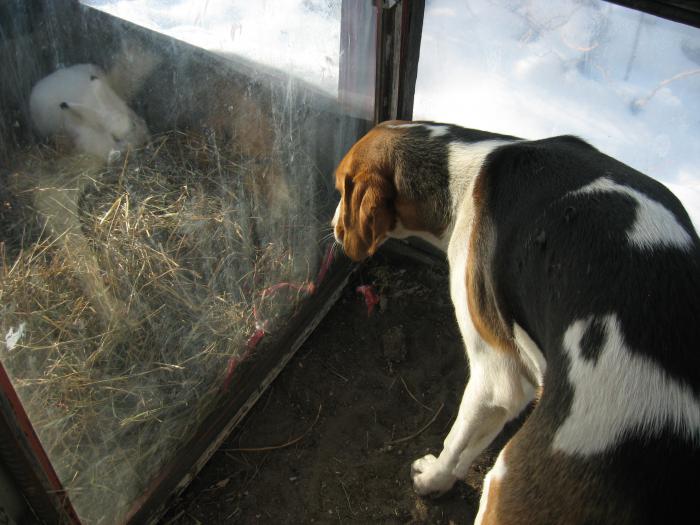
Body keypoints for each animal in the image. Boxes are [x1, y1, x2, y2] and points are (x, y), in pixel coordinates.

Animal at [330, 121, 700, 520]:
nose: (333, 226)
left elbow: (457, 440)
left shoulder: (496, 377)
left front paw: (432, 479)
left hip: (504, 483)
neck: (467, 167)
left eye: (340, 189)